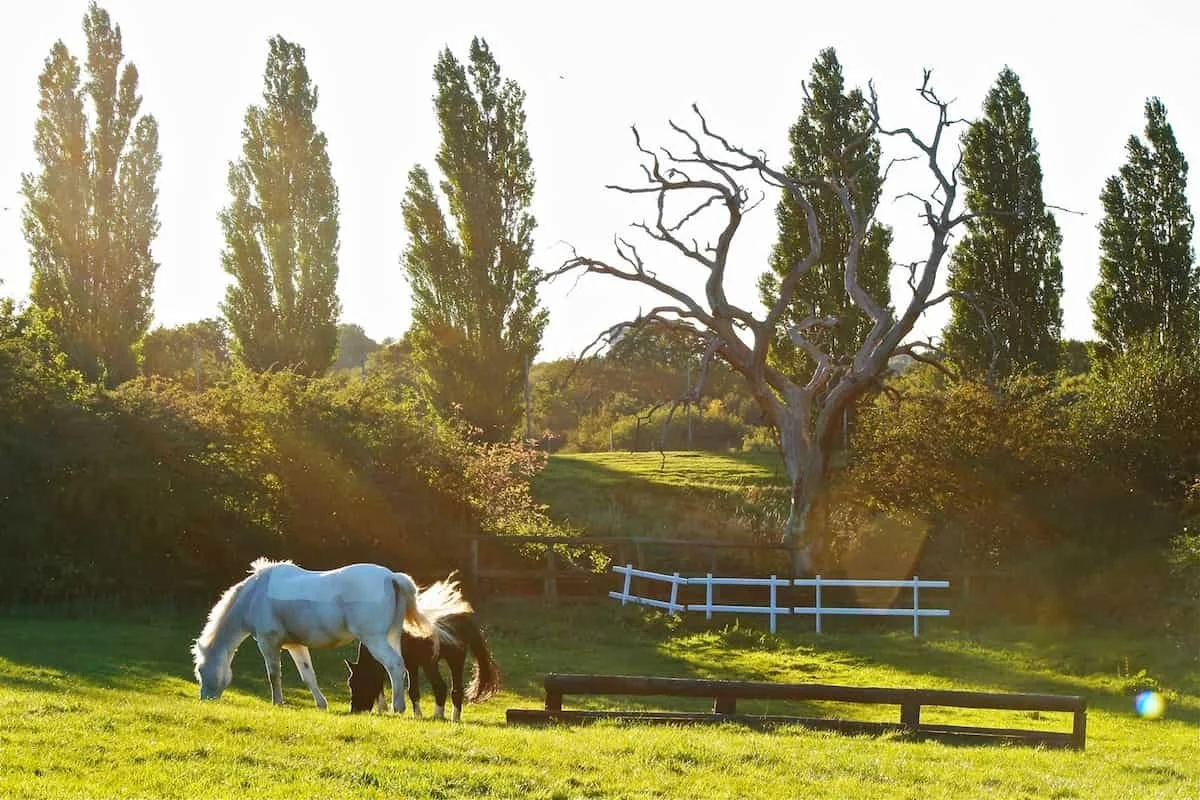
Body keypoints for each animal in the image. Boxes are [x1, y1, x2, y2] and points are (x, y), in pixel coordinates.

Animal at [191, 558, 471, 713]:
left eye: (201, 671)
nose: (204, 700)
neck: (255, 595)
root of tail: (391, 577)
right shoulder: (295, 645)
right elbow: (308, 675)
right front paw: (321, 704)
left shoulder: (268, 643)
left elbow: (274, 675)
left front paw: (277, 703)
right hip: (390, 637)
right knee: (395, 668)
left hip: (375, 639)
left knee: (394, 665)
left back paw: (397, 707)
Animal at [346, 612, 500, 721]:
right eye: (350, 684)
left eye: (360, 682)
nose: (355, 710)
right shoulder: (410, 666)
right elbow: (411, 691)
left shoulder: (412, 664)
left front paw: (417, 716)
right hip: (450, 662)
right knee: (455, 690)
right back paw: (451, 718)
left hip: (437, 663)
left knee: (441, 687)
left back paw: (441, 717)